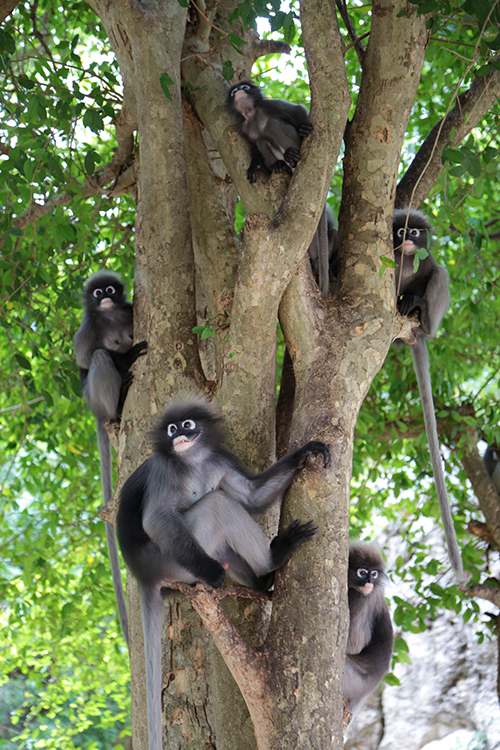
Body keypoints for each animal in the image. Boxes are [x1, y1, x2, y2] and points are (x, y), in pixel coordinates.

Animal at [115, 402, 330, 750]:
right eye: (171, 429)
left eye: (188, 425)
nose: (179, 436)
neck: (193, 460)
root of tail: (143, 574)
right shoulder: (163, 469)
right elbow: (156, 519)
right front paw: (213, 573)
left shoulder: (219, 460)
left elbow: (251, 497)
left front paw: (303, 454)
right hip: (174, 559)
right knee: (218, 504)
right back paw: (274, 557)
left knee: (226, 516)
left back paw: (261, 581)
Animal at [344, 540, 394, 716]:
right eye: (362, 572)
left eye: (374, 574)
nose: (369, 582)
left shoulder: (361, 598)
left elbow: (353, 644)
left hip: (352, 680)